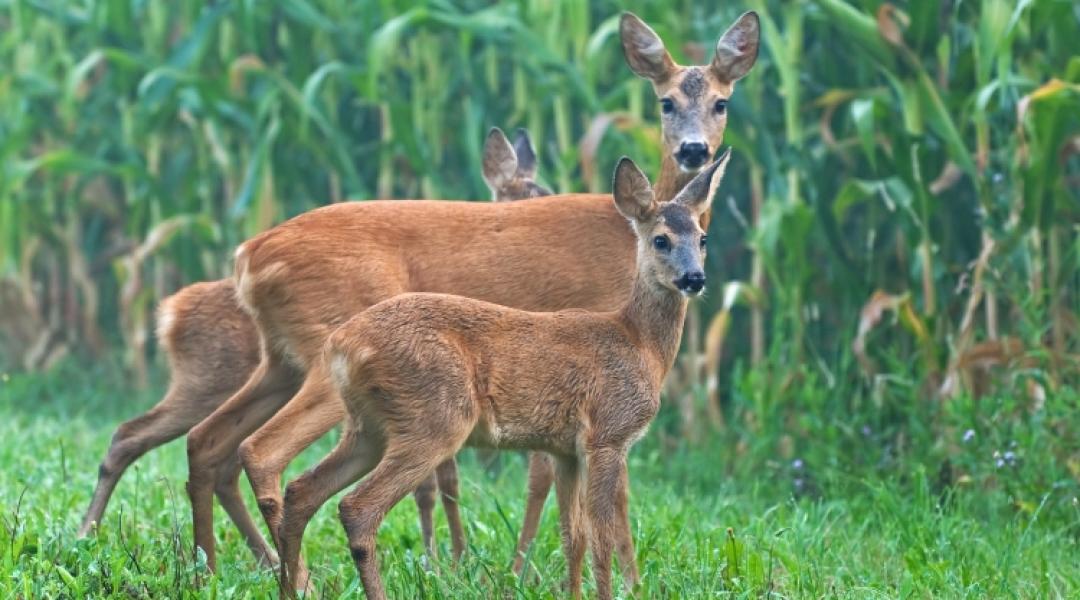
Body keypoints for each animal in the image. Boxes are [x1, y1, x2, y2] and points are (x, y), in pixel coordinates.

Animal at [73, 130, 557, 561]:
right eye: (527, 197)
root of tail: (173, 311)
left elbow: (447, 480)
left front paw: (451, 558)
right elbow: (454, 481)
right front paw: (456, 560)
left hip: (270, 373)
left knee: (195, 446)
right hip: (226, 378)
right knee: (169, 440)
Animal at [278, 153, 734, 600]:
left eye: (703, 239)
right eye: (660, 240)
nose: (694, 278)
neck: (639, 344)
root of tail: (341, 344)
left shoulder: (564, 449)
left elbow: (574, 537)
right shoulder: (607, 434)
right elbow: (601, 539)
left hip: (368, 426)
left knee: (300, 490)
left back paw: (289, 589)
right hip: (433, 418)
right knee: (358, 507)